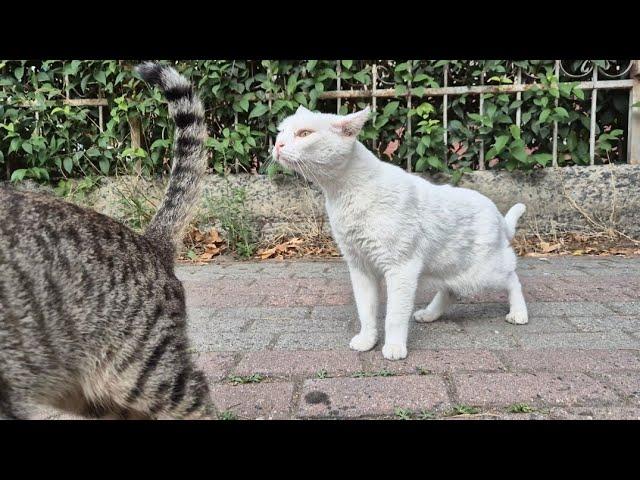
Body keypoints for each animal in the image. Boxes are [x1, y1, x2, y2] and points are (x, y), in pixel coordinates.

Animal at [272, 106, 528, 360]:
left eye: (304, 134)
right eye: (281, 132)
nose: (277, 145)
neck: (343, 193)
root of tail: (497, 213)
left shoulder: (401, 269)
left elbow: (394, 315)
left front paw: (394, 347)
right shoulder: (360, 267)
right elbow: (365, 310)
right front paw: (367, 341)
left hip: (485, 272)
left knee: (513, 279)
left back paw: (519, 313)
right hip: (452, 269)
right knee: (450, 290)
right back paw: (429, 314)